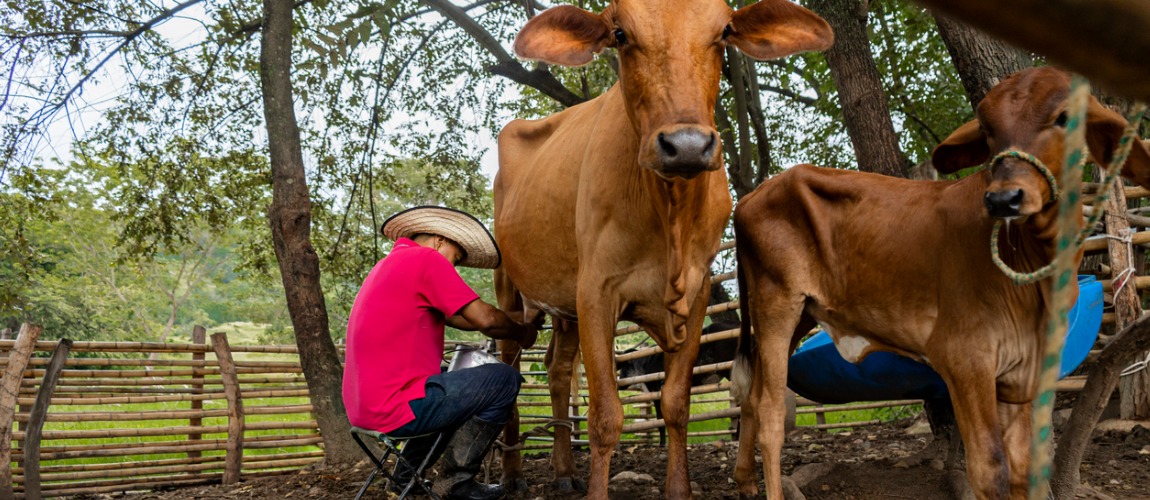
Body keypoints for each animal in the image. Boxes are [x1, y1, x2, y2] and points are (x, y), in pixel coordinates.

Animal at [489, 1, 832, 498]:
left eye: (724, 32)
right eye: (619, 34)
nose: (686, 145)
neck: (670, 217)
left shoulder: (697, 290)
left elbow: (675, 403)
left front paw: (678, 489)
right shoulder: (596, 291)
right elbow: (605, 417)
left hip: (562, 305)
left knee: (556, 372)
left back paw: (564, 471)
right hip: (509, 292)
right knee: (510, 369)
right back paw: (513, 474)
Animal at [726, 67, 1150, 500]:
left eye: (1065, 118)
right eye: (987, 128)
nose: (1004, 199)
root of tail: (751, 197)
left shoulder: (1018, 374)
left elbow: (1021, 468)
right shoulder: (965, 358)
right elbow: (989, 468)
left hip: (800, 314)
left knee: (751, 397)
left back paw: (745, 481)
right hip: (777, 303)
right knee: (771, 413)